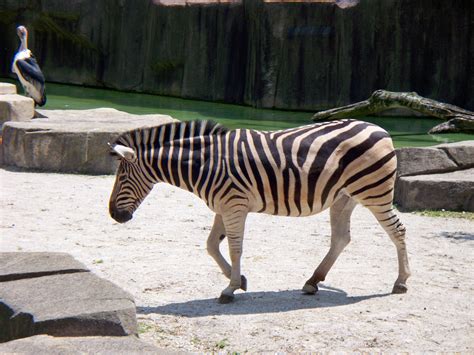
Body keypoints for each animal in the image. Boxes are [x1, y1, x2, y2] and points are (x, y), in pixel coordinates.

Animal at [108, 119, 412, 304]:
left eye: (121, 177)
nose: (113, 215)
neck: (204, 163)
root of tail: (379, 128)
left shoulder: (234, 204)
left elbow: (234, 248)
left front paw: (230, 288)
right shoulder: (223, 205)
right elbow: (211, 245)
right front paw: (240, 280)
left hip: (374, 193)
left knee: (397, 230)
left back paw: (401, 282)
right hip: (344, 198)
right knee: (341, 238)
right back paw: (312, 281)